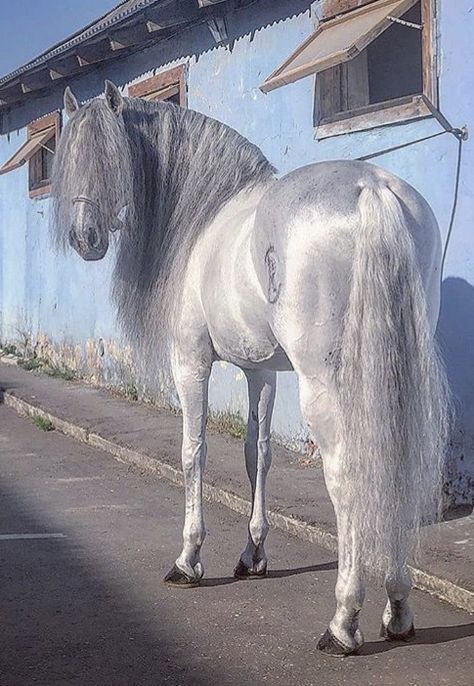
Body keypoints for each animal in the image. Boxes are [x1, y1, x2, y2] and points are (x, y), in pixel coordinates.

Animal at [51, 83, 448, 660]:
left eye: (110, 156)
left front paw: (188, 560)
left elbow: (194, 451)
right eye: (72, 157)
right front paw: (253, 554)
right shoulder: (262, 373)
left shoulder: (191, 362)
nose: (85, 237)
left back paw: (343, 622)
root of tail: (371, 189)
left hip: (325, 386)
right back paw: (396, 608)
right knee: (391, 459)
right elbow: (256, 455)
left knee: (349, 474)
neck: (204, 218)